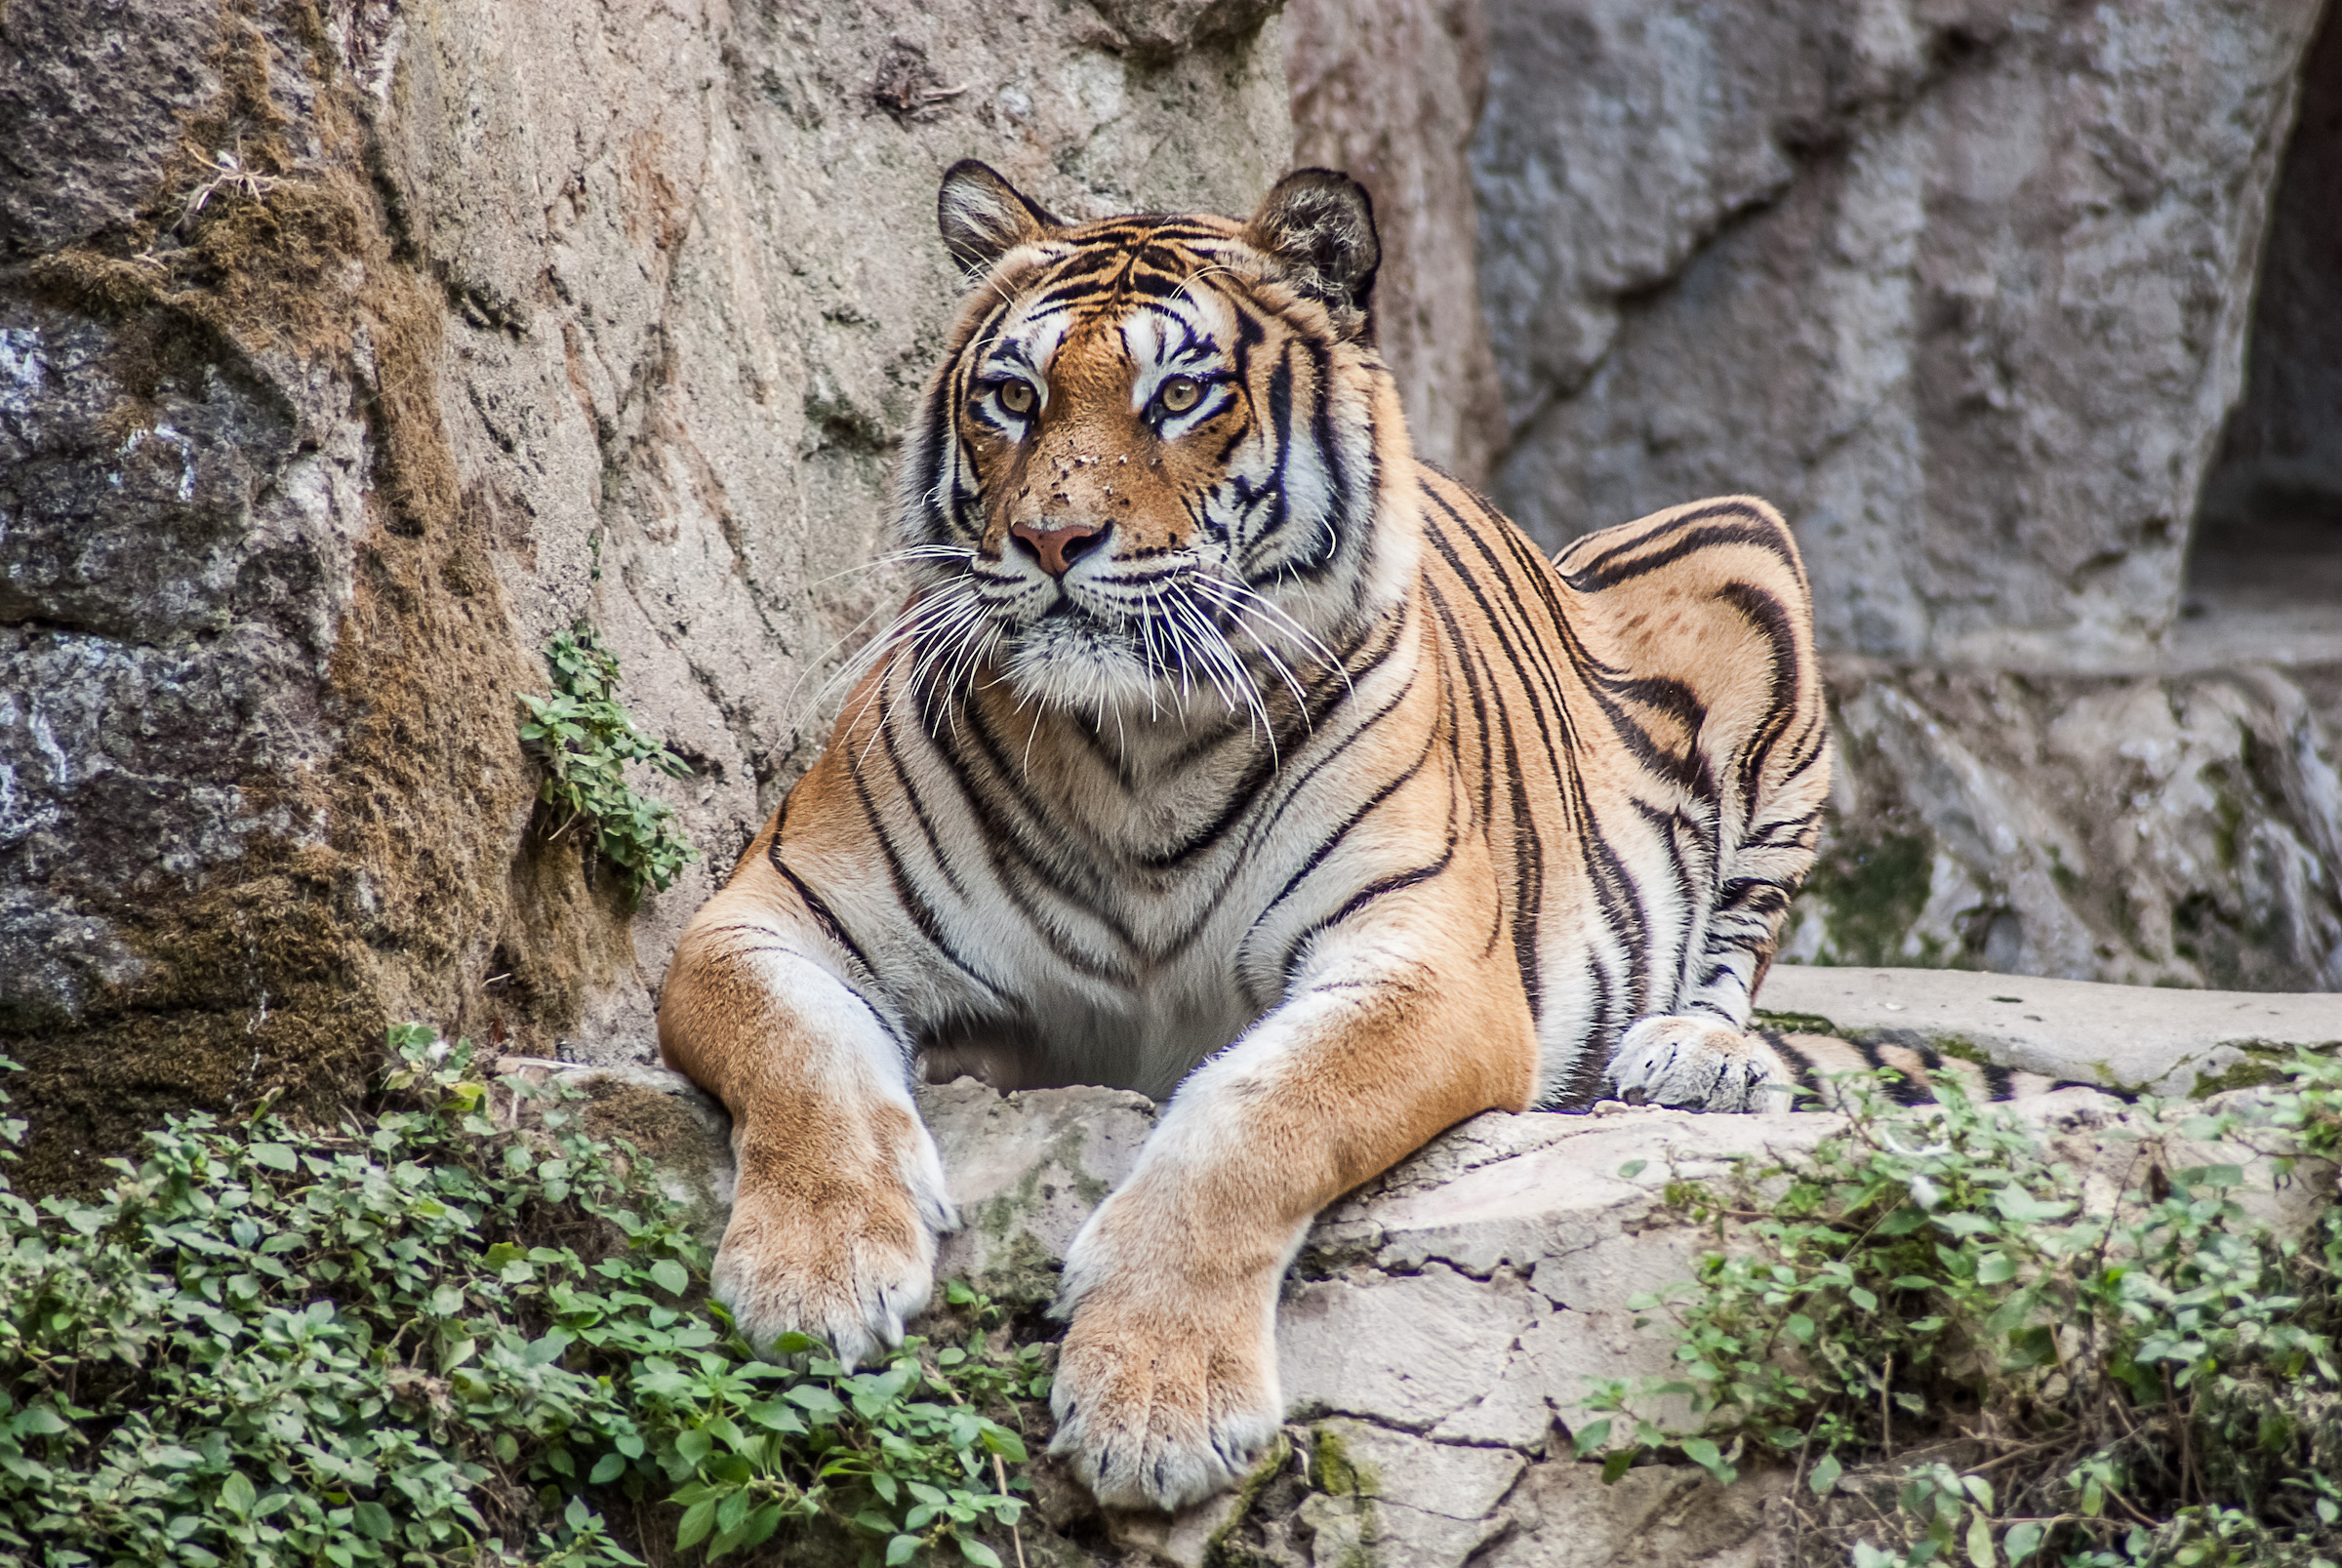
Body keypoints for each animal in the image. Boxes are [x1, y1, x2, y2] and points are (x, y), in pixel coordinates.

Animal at [656, 161, 1834, 1512]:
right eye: (1013, 396)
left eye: (1179, 396)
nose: (1050, 539)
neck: (1131, 754)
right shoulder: (766, 915)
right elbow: (799, 1050)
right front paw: (815, 1275)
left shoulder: (1425, 970)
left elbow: (1255, 1115)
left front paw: (1155, 1401)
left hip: (1750, 547)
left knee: (1736, 949)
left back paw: (1697, 1057)